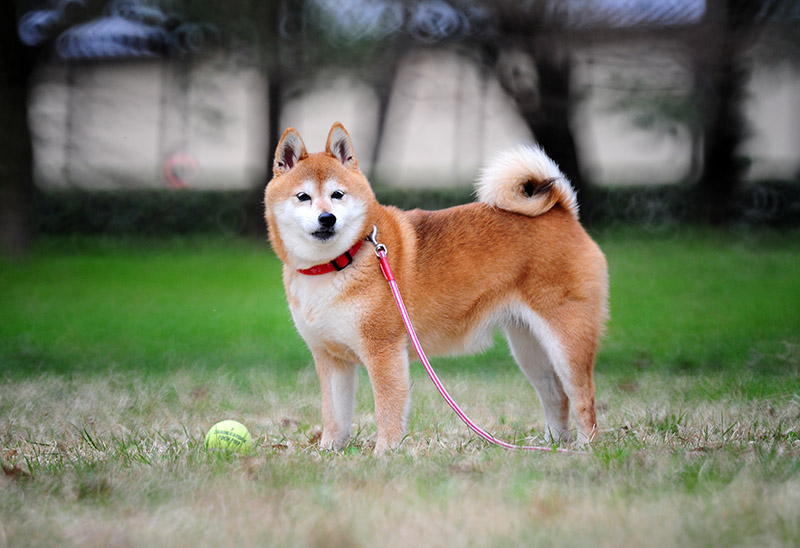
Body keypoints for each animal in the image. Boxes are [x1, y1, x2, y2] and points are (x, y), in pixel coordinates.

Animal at [262, 124, 608, 454]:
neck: (337, 262)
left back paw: (585, 447)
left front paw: (384, 453)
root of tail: (562, 211)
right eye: (303, 197)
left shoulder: (384, 353)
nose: (327, 218)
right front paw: (328, 452)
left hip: (565, 342)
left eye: (337, 194)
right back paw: (549, 446)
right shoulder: (331, 359)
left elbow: (387, 410)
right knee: (555, 396)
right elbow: (334, 417)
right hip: (529, 349)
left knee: (583, 397)